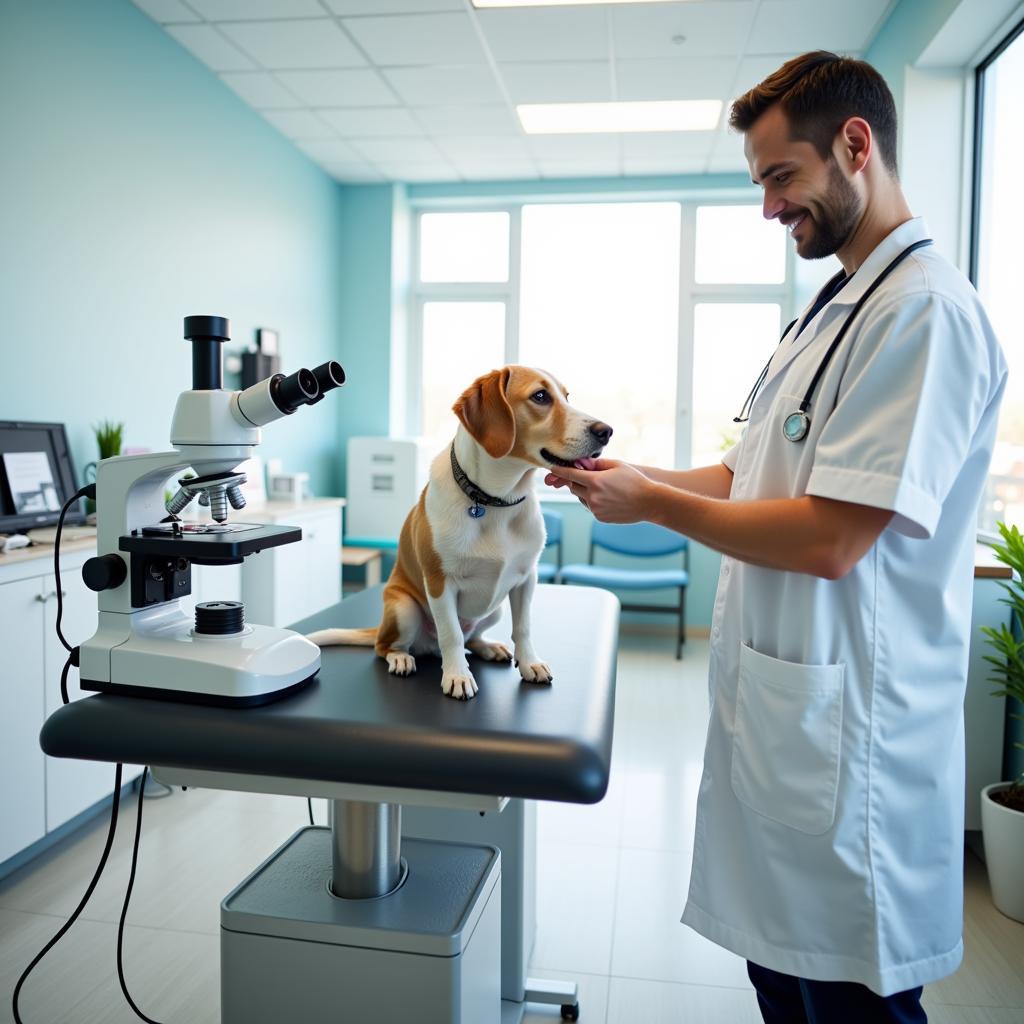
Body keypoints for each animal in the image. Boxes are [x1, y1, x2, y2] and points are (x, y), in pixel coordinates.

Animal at [307, 370, 610, 704]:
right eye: (540, 396)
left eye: (567, 397)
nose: (606, 431)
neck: (496, 501)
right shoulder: (440, 582)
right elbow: (450, 634)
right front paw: (457, 676)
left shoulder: (525, 579)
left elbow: (523, 627)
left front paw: (529, 662)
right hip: (404, 608)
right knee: (388, 646)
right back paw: (401, 657)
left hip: (494, 609)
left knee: (471, 638)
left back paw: (489, 647)